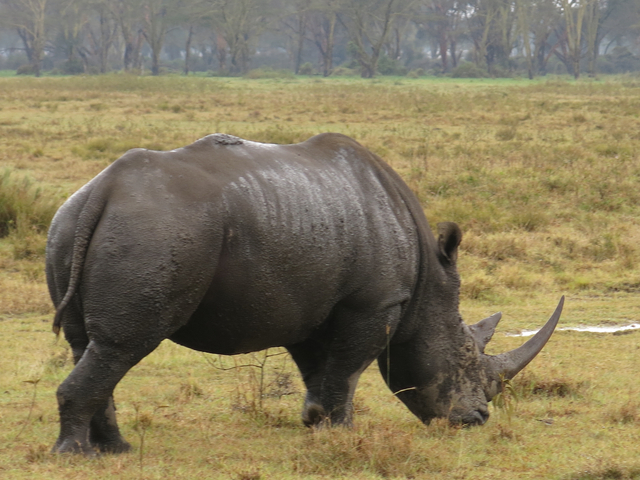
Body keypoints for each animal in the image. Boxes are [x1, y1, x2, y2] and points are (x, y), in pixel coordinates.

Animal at [46, 133, 563, 455]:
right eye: (465, 356)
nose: (477, 419)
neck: (426, 291)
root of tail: (106, 188)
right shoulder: (375, 302)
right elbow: (349, 368)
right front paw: (344, 433)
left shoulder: (310, 303)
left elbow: (320, 368)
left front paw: (316, 424)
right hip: (158, 229)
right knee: (124, 344)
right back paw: (78, 456)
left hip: (69, 224)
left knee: (89, 345)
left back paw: (115, 450)